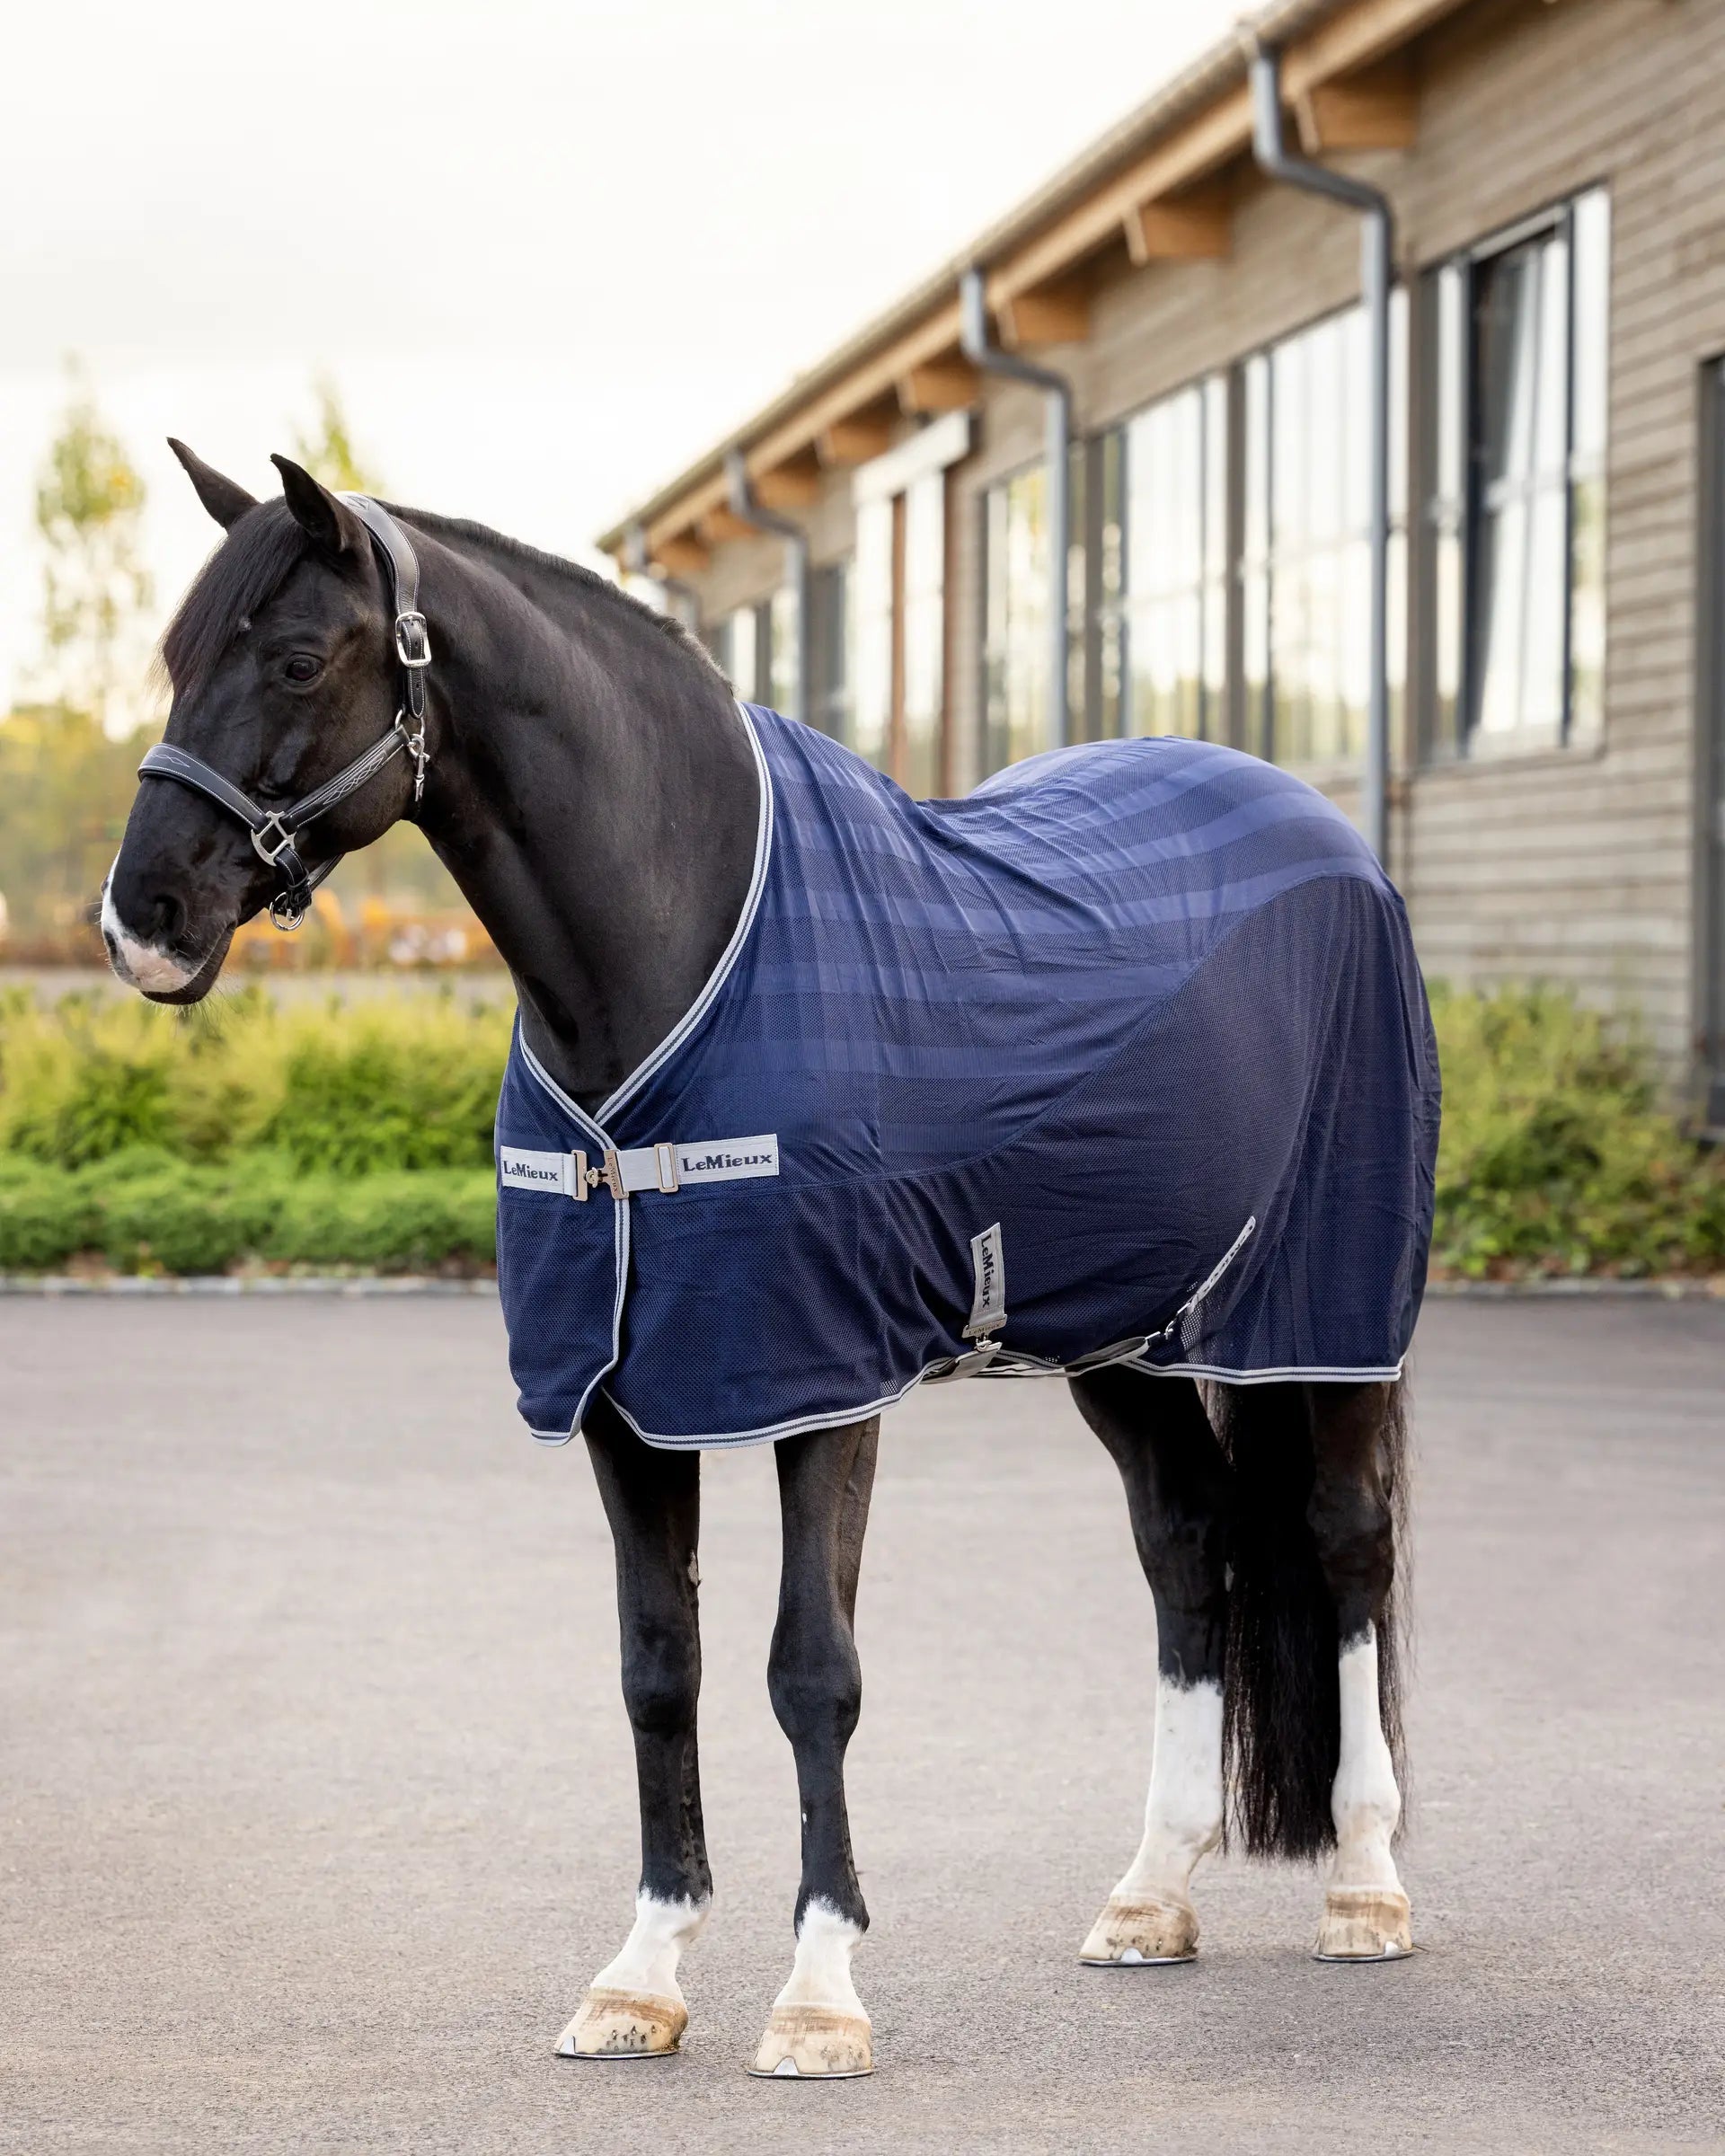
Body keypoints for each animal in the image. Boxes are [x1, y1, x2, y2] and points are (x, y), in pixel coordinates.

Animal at [102, 444, 1436, 2080]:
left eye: (297, 659)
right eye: (179, 660)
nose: (141, 919)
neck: (676, 957)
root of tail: (1328, 835)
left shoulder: (819, 1384)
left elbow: (813, 1671)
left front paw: (819, 1993)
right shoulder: (619, 1397)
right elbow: (655, 1667)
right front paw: (642, 1974)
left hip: (1327, 1315)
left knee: (1346, 1540)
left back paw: (1367, 1885)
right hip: (1117, 1336)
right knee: (1189, 1550)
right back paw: (1150, 1893)